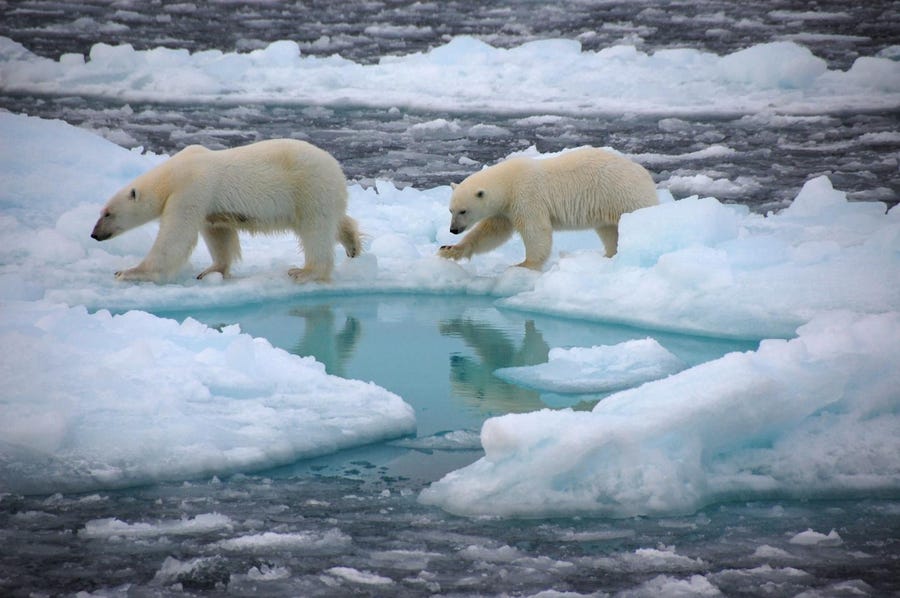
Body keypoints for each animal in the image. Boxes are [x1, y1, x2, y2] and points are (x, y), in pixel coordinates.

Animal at [91, 138, 361, 283]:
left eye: (107, 213)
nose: (94, 234)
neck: (172, 174)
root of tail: (336, 167)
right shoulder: (209, 205)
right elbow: (218, 234)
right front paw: (211, 271)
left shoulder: (191, 189)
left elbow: (175, 238)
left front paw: (128, 272)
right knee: (335, 221)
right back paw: (353, 244)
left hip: (309, 188)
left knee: (316, 230)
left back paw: (304, 272)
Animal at [438, 147, 658, 270]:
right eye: (450, 210)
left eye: (463, 211)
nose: (453, 229)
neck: (508, 183)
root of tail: (644, 174)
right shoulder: (505, 210)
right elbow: (491, 232)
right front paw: (449, 250)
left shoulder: (526, 197)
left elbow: (536, 231)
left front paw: (524, 264)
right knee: (609, 231)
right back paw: (609, 255)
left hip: (625, 195)